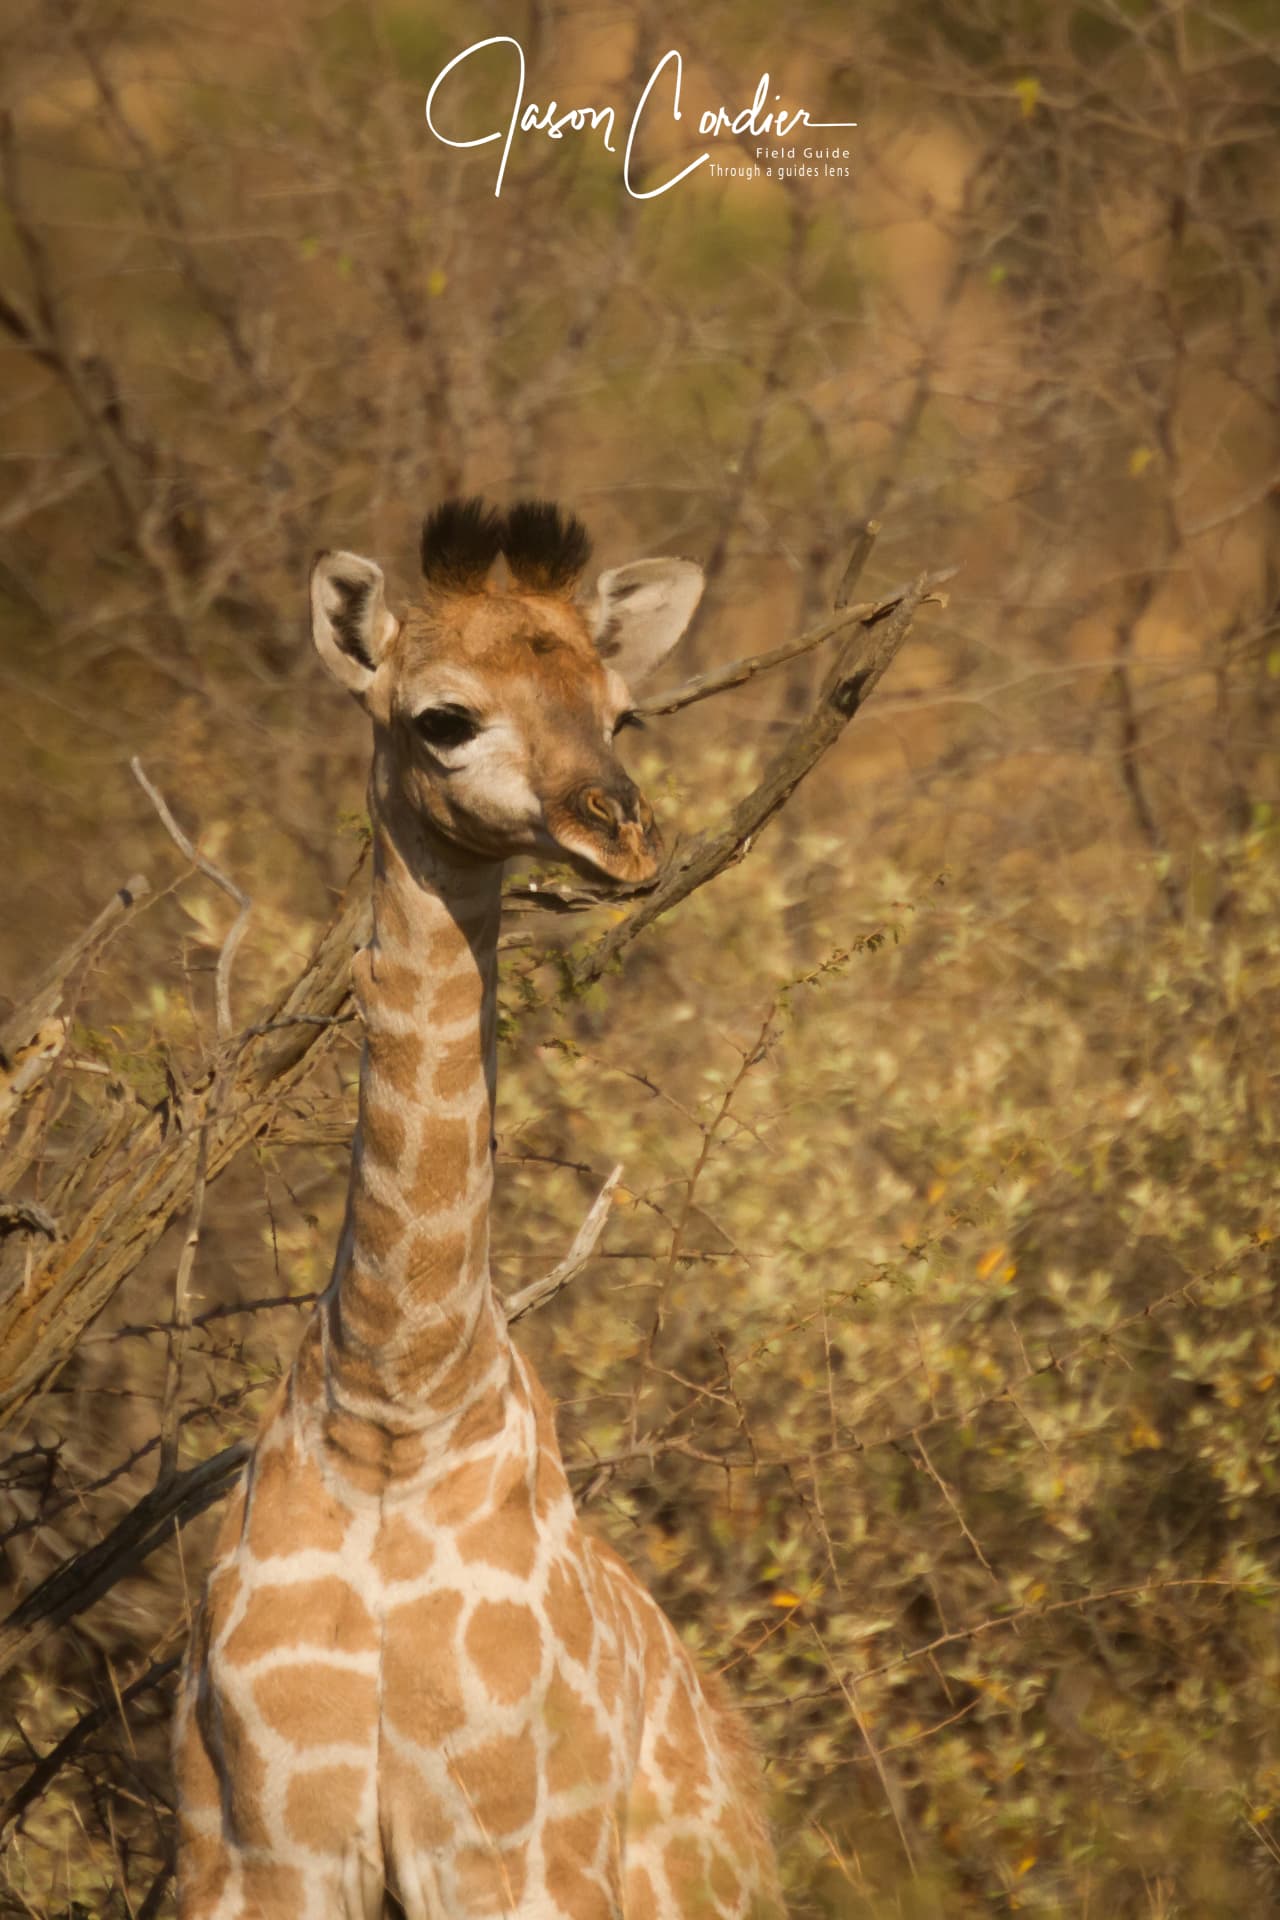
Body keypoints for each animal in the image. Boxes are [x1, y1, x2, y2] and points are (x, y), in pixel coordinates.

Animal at [174, 499, 780, 1920]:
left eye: (621, 713)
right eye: (442, 718)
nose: (623, 836)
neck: (393, 1408)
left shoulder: (515, 1856)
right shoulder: (260, 1849)